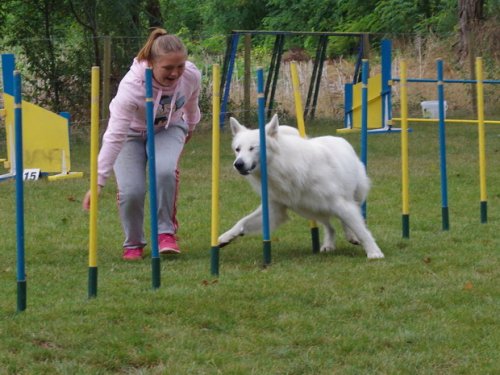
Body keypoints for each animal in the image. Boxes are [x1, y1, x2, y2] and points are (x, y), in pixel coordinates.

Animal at [217, 116, 384, 260]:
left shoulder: (339, 203)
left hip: (345, 199)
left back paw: (351, 236)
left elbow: (362, 230)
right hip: (311, 208)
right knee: (330, 227)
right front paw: (226, 236)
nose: (238, 164)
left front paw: (374, 253)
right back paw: (328, 244)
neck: (281, 165)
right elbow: (242, 222)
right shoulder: (274, 209)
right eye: (238, 149)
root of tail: (339, 139)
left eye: (252, 148)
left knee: (347, 219)